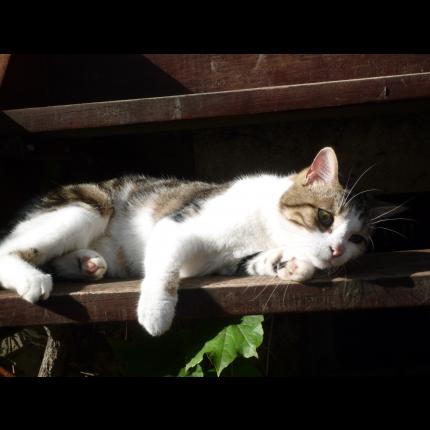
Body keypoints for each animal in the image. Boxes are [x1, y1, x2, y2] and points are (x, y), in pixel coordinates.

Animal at [0, 148, 394, 336]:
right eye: (325, 218)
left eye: (357, 238)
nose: (337, 249)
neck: (266, 229)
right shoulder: (175, 226)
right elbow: (165, 269)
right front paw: (155, 312)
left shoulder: (230, 259)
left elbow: (254, 261)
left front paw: (292, 264)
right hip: (88, 207)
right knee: (9, 249)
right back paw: (33, 278)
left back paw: (87, 263)